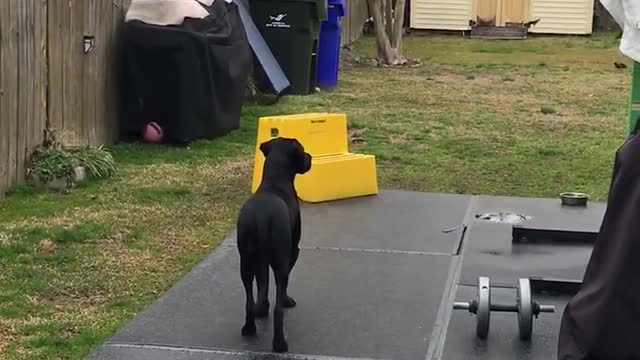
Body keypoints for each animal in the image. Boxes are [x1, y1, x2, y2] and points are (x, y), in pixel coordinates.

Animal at [238, 136, 312, 352]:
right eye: (302, 150)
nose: (311, 157)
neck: (274, 182)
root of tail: (262, 218)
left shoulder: (259, 263)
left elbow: (262, 284)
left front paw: (262, 310)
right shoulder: (292, 252)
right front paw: (286, 301)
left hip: (246, 262)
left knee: (249, 299)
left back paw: (250, 327)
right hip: (280, 262)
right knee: (279, 310)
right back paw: (280, 343)